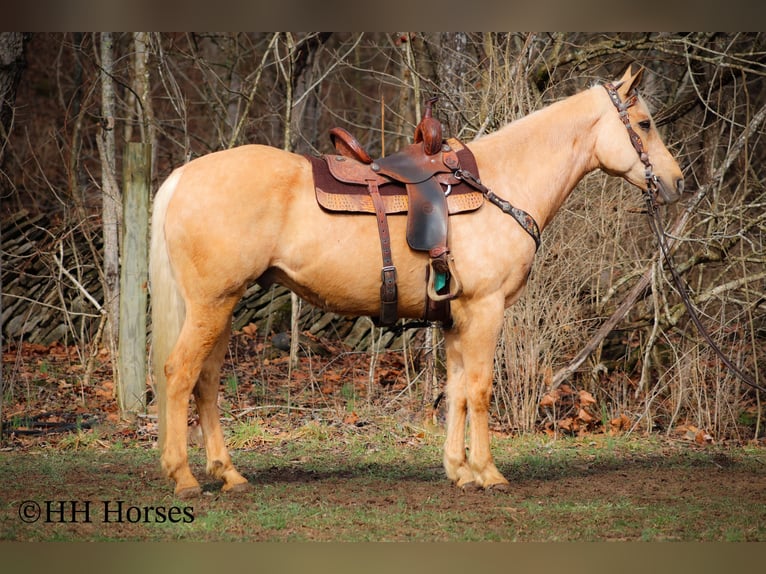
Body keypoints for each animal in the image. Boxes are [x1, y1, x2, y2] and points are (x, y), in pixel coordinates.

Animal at [149, 65, 684, 498]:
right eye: (644, 124)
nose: (677, 182)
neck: (501, 185)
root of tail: (181, 177)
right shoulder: (485, 309)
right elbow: (481, 389)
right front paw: (488, 473)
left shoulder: (455, 317)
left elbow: (457, 390)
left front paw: (459, 471)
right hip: (211, 304)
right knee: (180, 374)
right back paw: (185, 478)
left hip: (221, 307)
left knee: (206, 381)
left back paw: (228, 474)